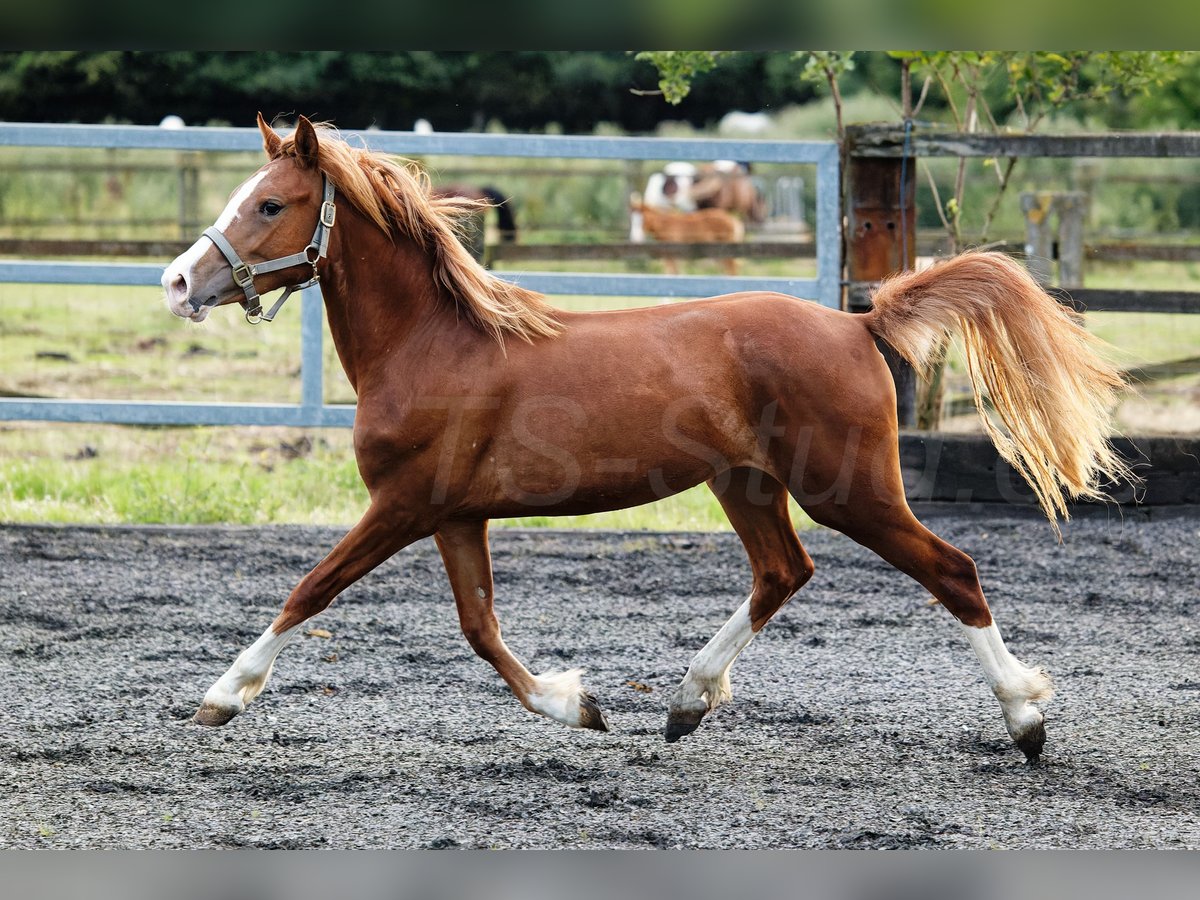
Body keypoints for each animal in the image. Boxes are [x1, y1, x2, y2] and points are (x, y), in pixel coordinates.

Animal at [157, 112, 1123, 763]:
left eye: (270, 204)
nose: (175, 283)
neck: (433, 345)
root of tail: (858, 324)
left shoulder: (402, 505)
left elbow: (310, 591)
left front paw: (220, 697)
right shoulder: (456, 515)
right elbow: (479, 627)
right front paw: (577, 703)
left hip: (849, 489)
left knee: (949, 571)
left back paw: (1026, 720)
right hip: (746, 484)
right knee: (783, 572)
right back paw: (687, 702)